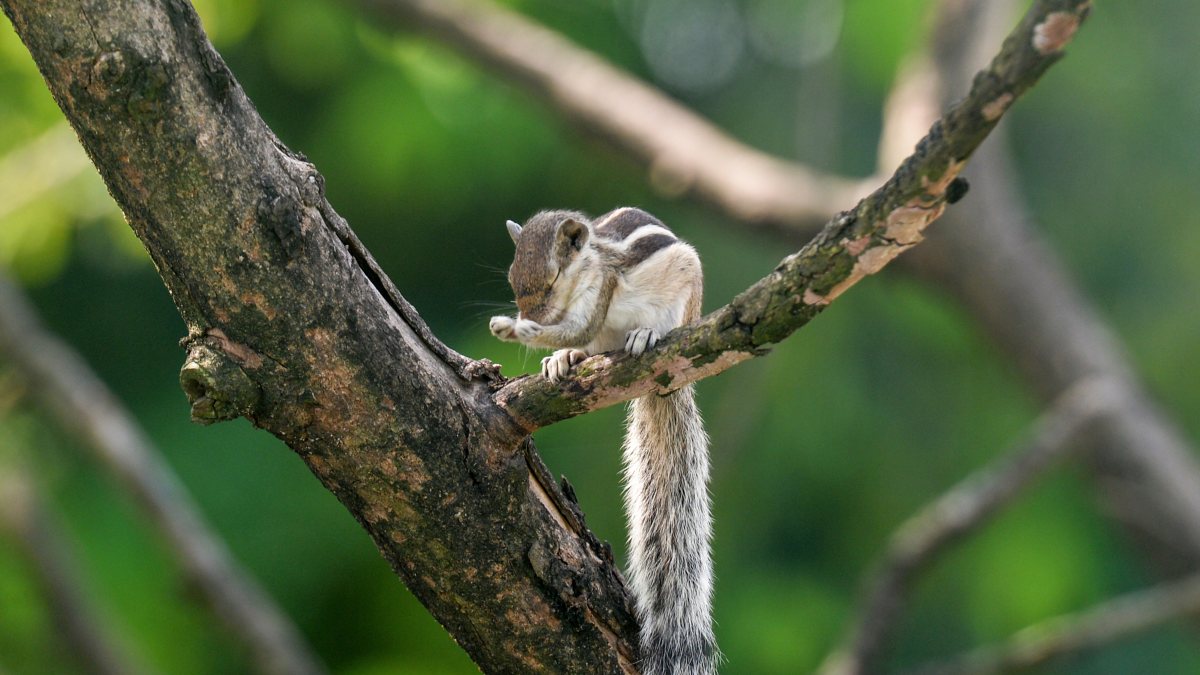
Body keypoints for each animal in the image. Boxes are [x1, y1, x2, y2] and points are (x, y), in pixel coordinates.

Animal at [490, 207, 717, 675]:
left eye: (553, 279)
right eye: (512, 279)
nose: (531, 315)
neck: (588, 261)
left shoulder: (602, 287)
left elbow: (577, 327)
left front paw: (520, 331)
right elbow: (577, 335)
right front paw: (554, 349)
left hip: (685, 295)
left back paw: (645, 335)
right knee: (590, 347)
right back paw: (568, 359)